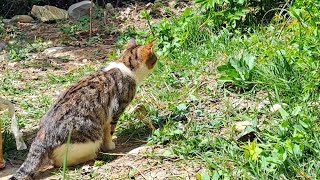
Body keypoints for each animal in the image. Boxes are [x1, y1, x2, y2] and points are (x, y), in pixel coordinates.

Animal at [10, 39, 158, 180]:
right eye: (155, 57)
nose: (158, 59)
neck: (125, 66)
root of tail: (42, 136)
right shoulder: (116, 111)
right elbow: (109, 132)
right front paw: (110, 145)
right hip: (89, 138)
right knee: (60, 162)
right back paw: (93, 154)